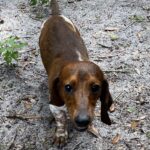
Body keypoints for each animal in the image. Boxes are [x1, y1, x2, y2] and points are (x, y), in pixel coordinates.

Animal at [39, 0, 114, 148]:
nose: (83, 120)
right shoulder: (55, 105)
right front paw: (61, 135)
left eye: (95, 87)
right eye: (68, 87)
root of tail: (56, 16)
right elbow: (61, 119)